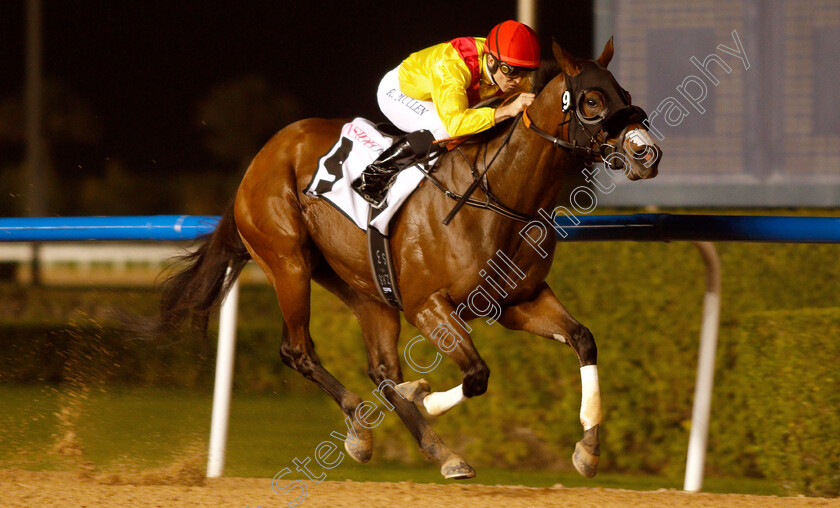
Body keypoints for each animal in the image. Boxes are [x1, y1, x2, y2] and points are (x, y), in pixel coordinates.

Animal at [154, 40, 660, 480]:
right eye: (592, 100)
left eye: (627, 95)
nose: (646, 153)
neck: (499, 196)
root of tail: (263, 156)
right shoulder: (427, 306)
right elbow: (477, 375)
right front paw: (424, 394)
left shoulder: (519, 301)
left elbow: (583, 339)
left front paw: (588, 450)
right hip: (287, 262)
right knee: (297, 350)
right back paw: (363, 427)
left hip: (363, 287)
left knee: (381, 370)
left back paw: (438, 450)